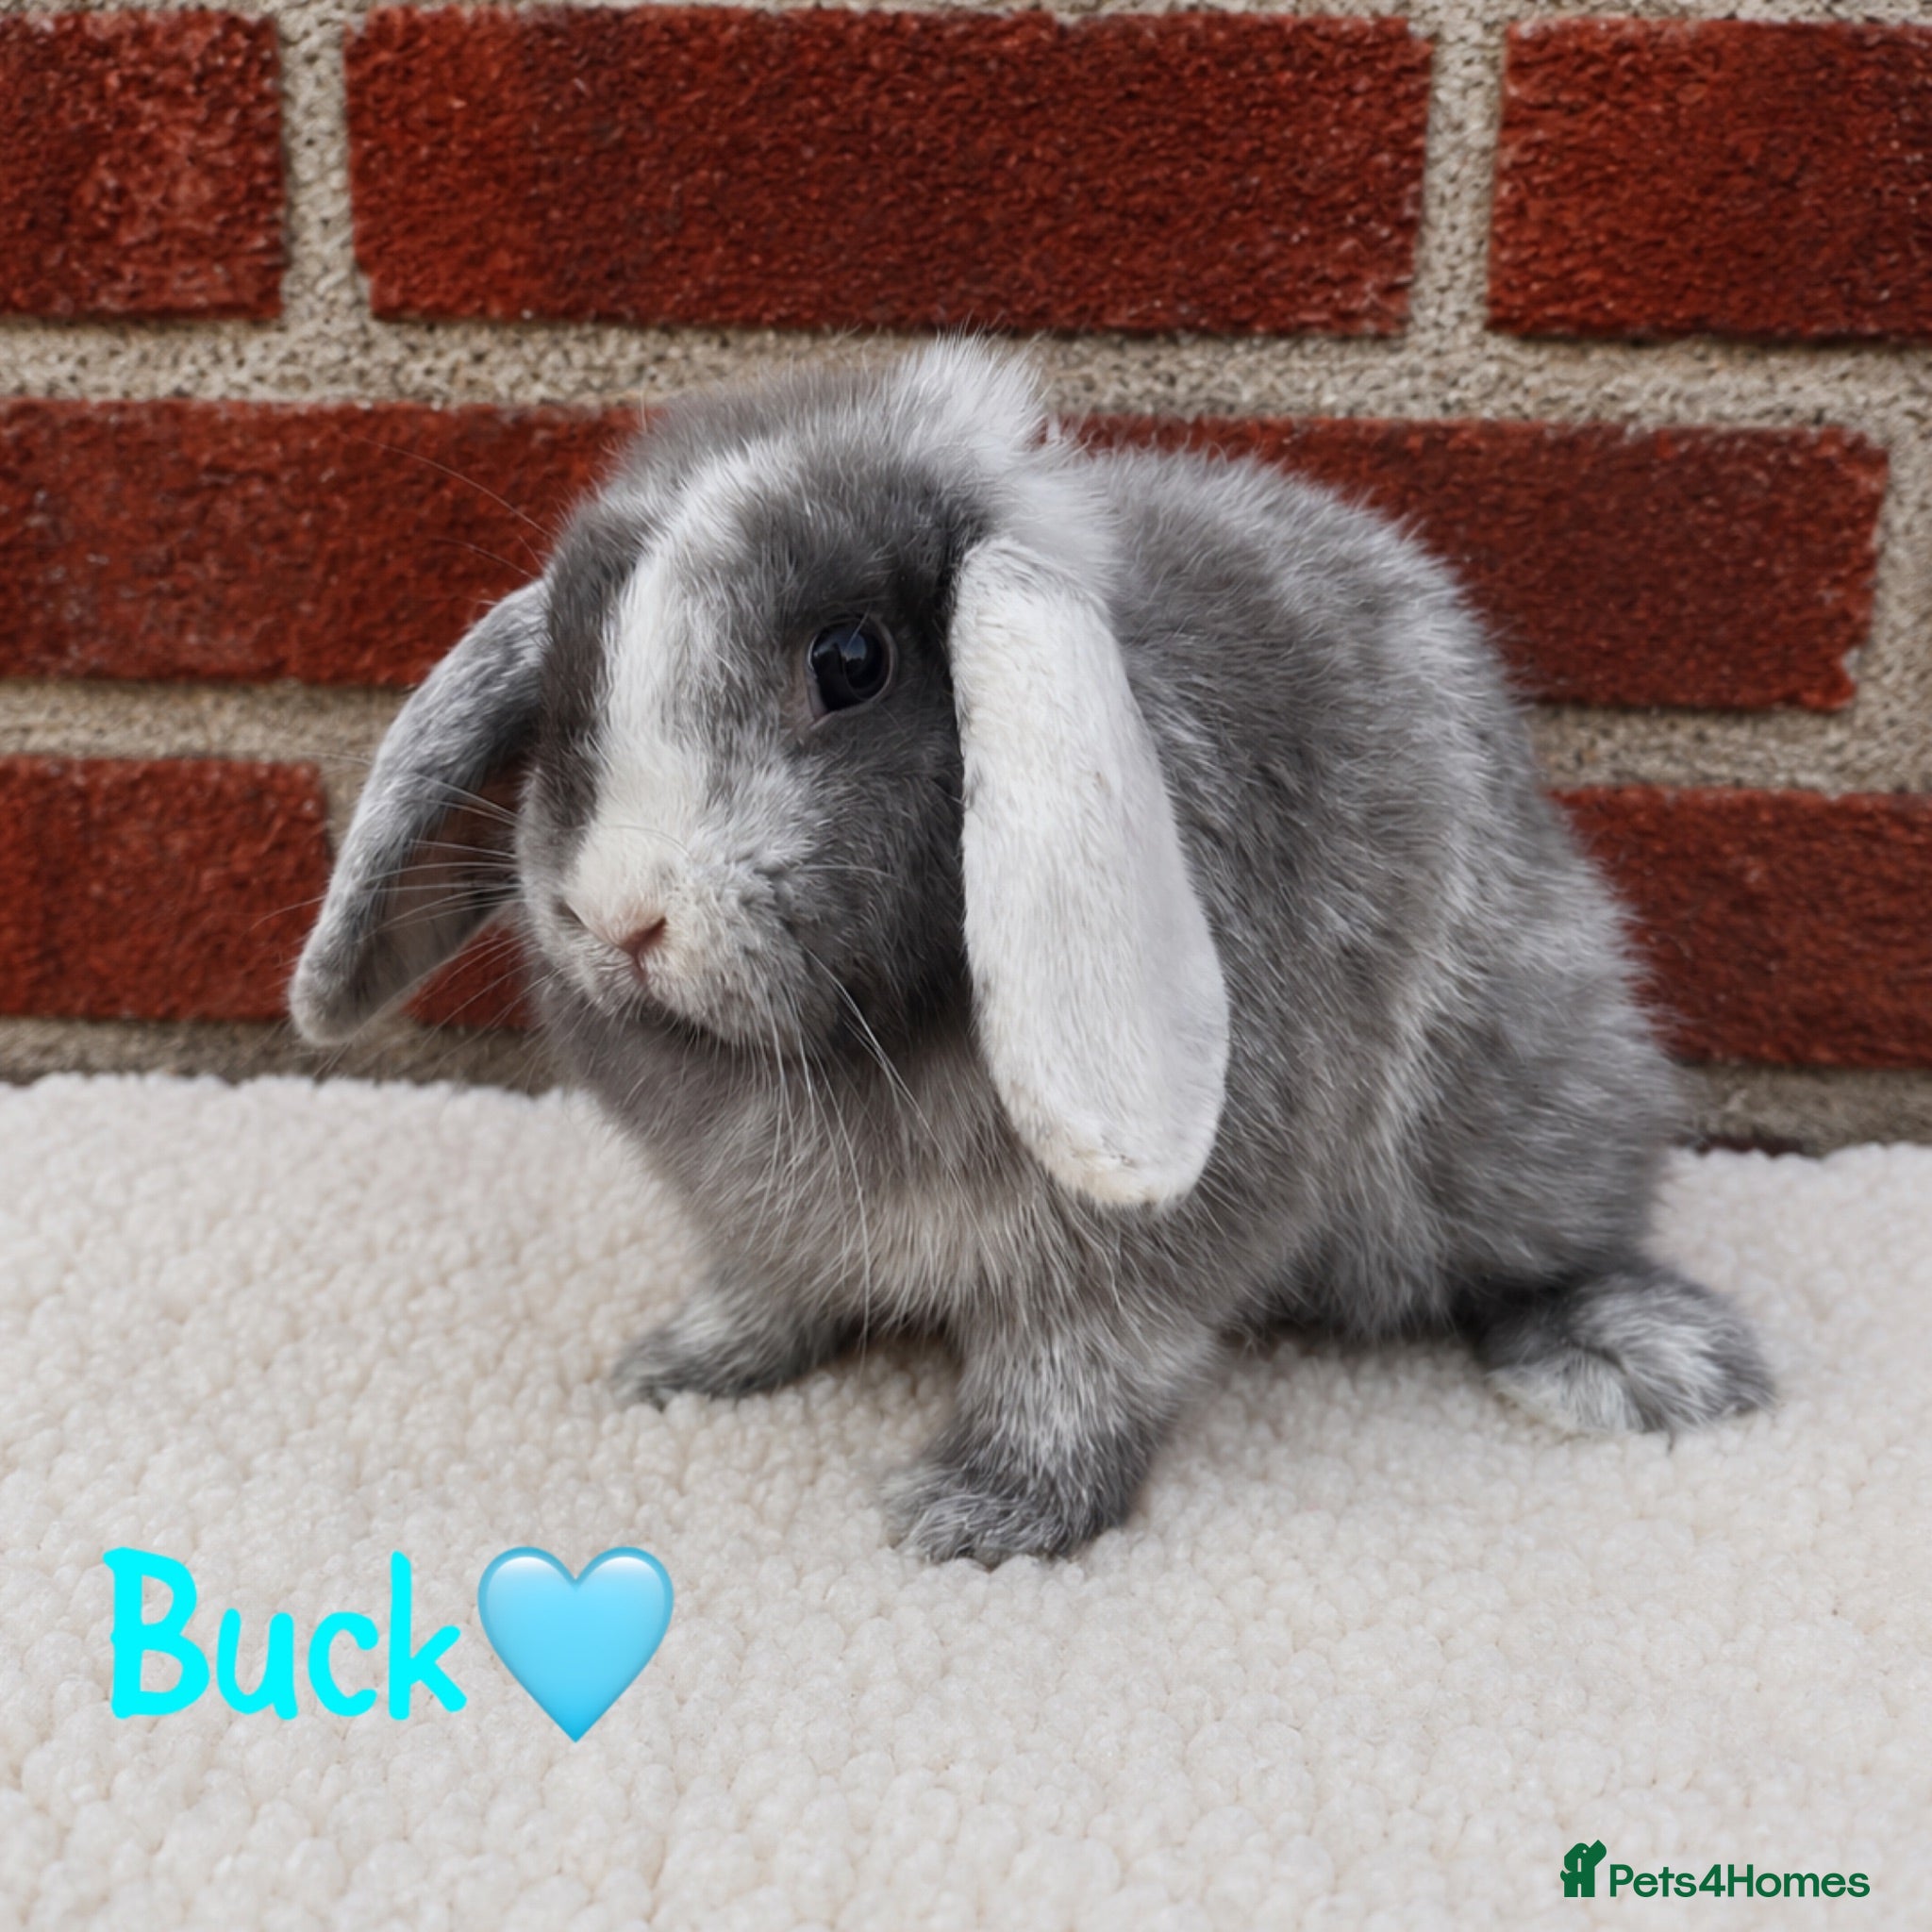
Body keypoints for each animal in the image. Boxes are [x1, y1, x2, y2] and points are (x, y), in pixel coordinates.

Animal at [291, 340, 1772, 1563]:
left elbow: (1078, 1371)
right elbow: (767, 1288)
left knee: (1559, 1241)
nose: (617, 917)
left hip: (1522, 1097)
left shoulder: (1126, 1252)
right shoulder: (758, 1223)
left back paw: (1647, 1358)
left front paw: (974, 1516)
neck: (858, 1037)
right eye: (570, 672)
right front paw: (675, 1366)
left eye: (851, 660)